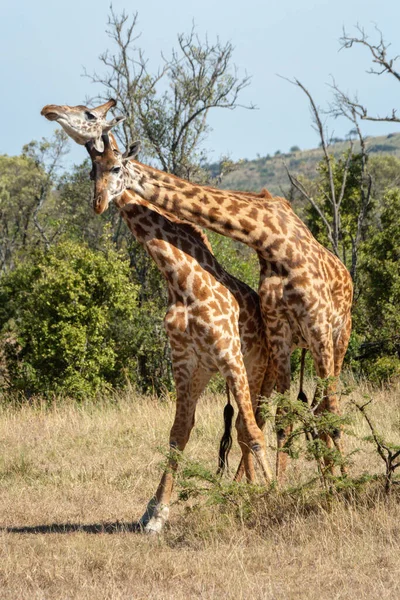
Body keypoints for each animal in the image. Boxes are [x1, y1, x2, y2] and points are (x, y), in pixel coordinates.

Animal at [42, 101, 274, 532]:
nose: (49, 110)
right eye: (91, 172)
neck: (180, 280)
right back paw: (242, 491)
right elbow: (178, 433)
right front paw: (155, 513)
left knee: (255, 422)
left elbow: (251, 431)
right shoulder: (186, 364)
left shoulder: (230, 354)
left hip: (259, 368)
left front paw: (276, 493)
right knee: (237, 424)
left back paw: (256, 488)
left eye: (117, 167)